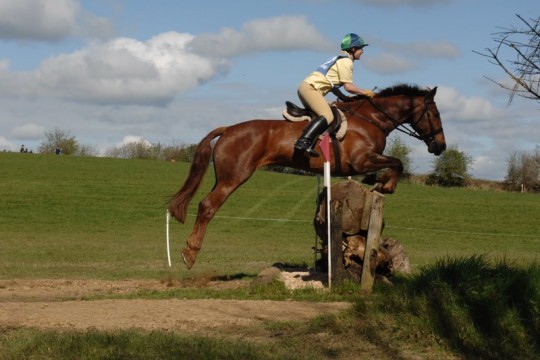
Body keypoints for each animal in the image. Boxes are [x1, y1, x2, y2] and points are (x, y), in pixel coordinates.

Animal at [170, 84, 448, 268]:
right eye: (435, 114)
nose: (440, 147)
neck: (372, 119)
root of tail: (228, 129)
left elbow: (392, 165)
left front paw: (379, 183)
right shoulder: (362, 160)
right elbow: (397, 162)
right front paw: (386, 185)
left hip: (224, 176)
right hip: (234, 178)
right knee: (207, 206)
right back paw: (190, 254)